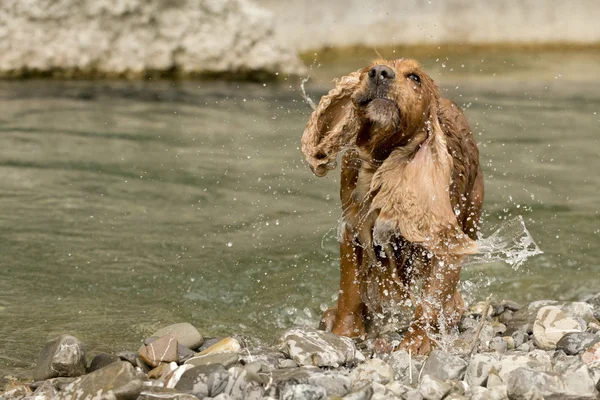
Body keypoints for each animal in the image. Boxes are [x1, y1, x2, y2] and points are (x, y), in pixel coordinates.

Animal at [300, 58, 482, 354]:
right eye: (368, 69)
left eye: (415, 77)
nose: (379, 73)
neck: (382, 161)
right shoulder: (353, 227)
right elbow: (350, 288)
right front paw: (345, 334)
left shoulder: (445, 240)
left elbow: (431, 299)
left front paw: (417, 342)